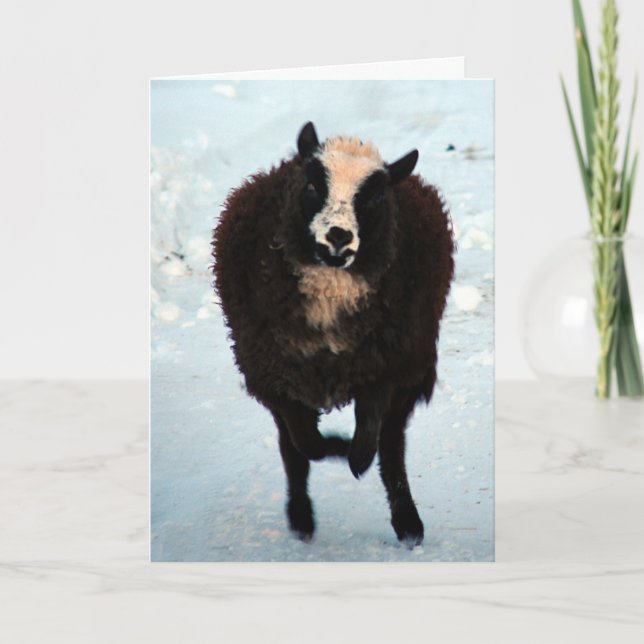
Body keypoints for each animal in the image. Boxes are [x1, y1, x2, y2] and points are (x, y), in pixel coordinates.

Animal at [212, 122, 454, 547]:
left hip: (413, 365)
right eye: (312, 185)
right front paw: (338, 448)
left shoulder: (383, 366)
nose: (339, 237)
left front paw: (355, 456)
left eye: (376, 196)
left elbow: (371, 431)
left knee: (392, 443)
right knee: (293, 449)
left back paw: (407, 522)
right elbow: (304, 445)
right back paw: (301, 517)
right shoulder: (277, 375)